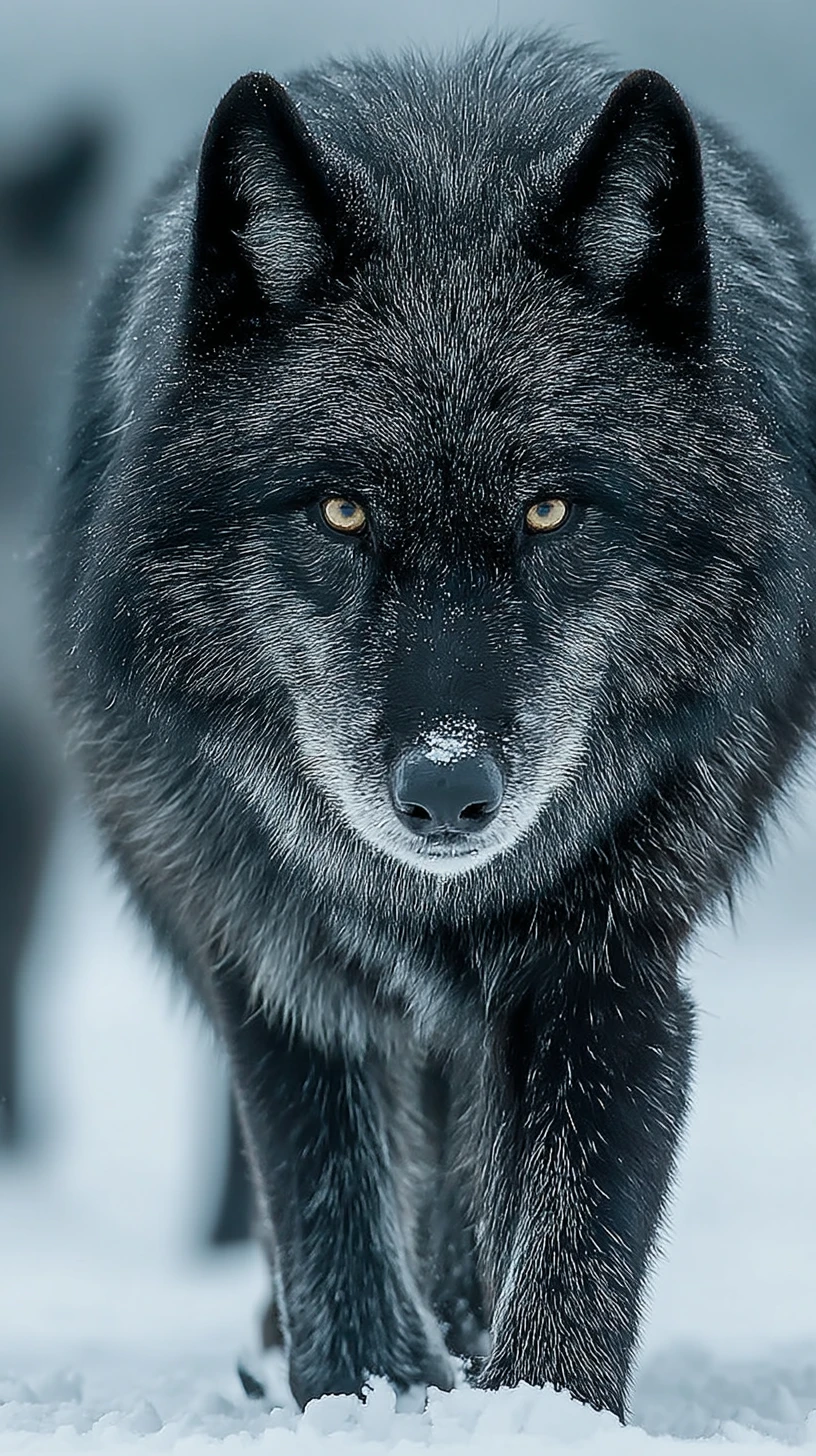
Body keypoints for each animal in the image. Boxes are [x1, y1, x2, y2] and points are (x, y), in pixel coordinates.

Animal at [48, 33, 816, 1419]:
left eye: (551, 510)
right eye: (342, 512)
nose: (449, 789)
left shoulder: (610, 959)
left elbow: (574, 1222)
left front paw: (537, 1406)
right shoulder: (274, 953)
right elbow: (325, 1194)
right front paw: (366, 1391)